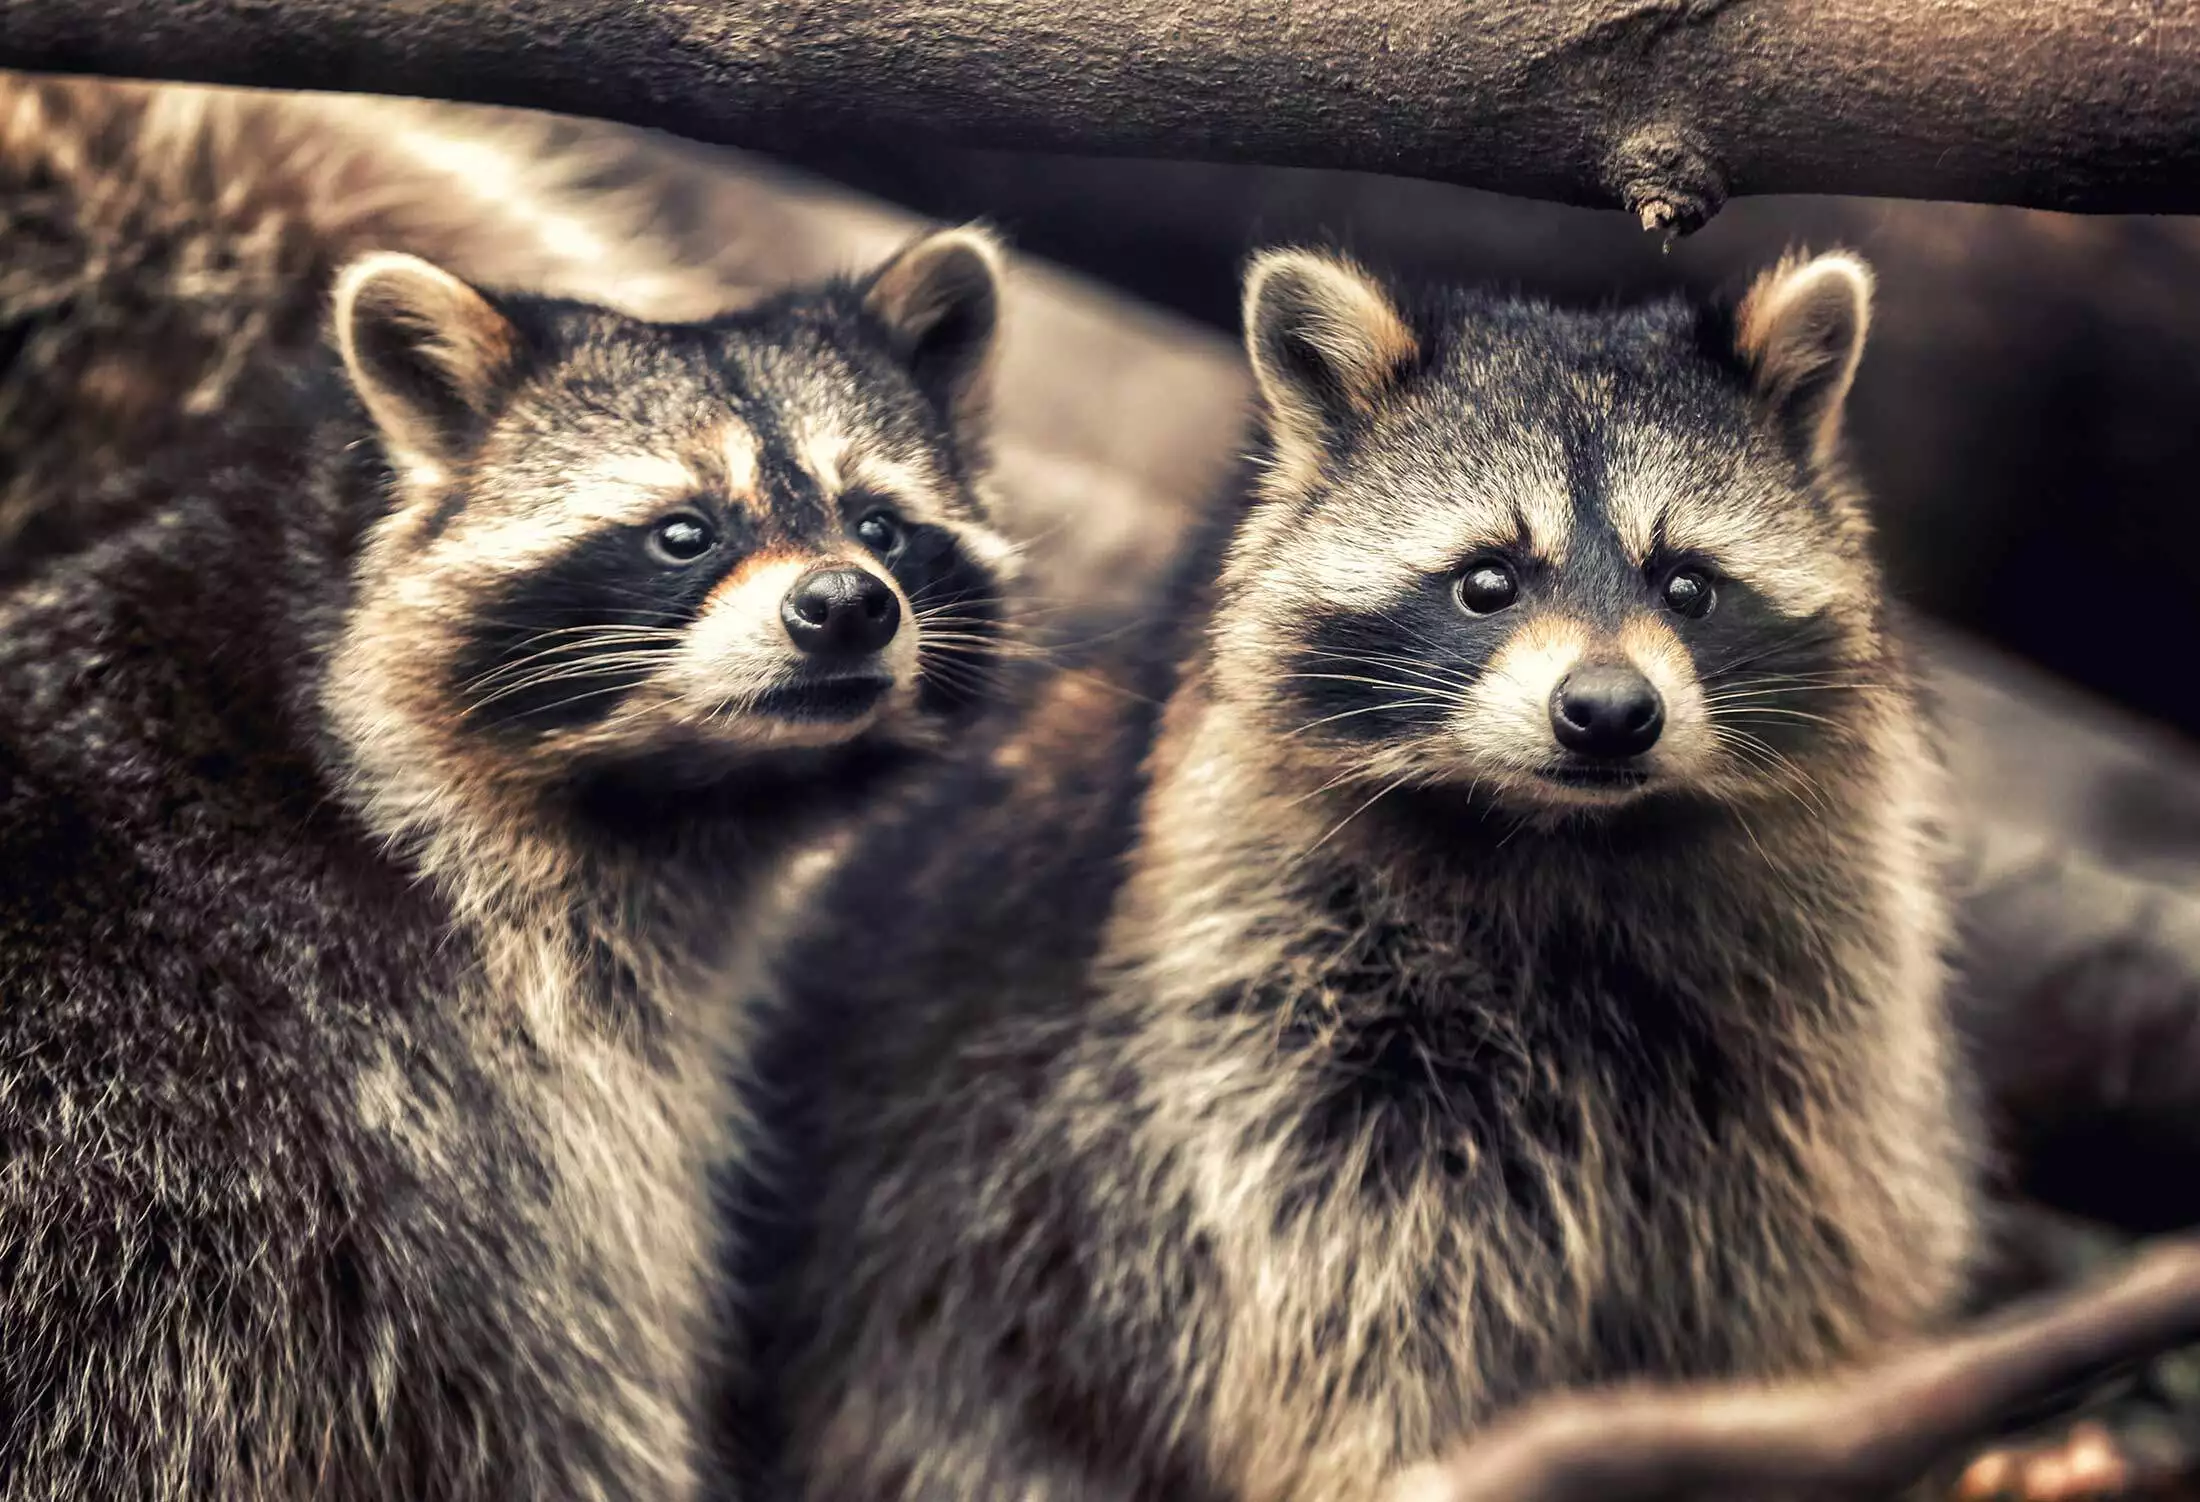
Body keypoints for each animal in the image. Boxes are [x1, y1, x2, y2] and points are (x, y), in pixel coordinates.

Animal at [754, 248, 1978, 1501]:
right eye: (1486, 581)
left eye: (1685, 584)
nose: (1606, 712)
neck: (1563, 840)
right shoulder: (1266, 1037)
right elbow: (1347, 1293)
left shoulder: (1796, 1040)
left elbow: (1797, 1267)